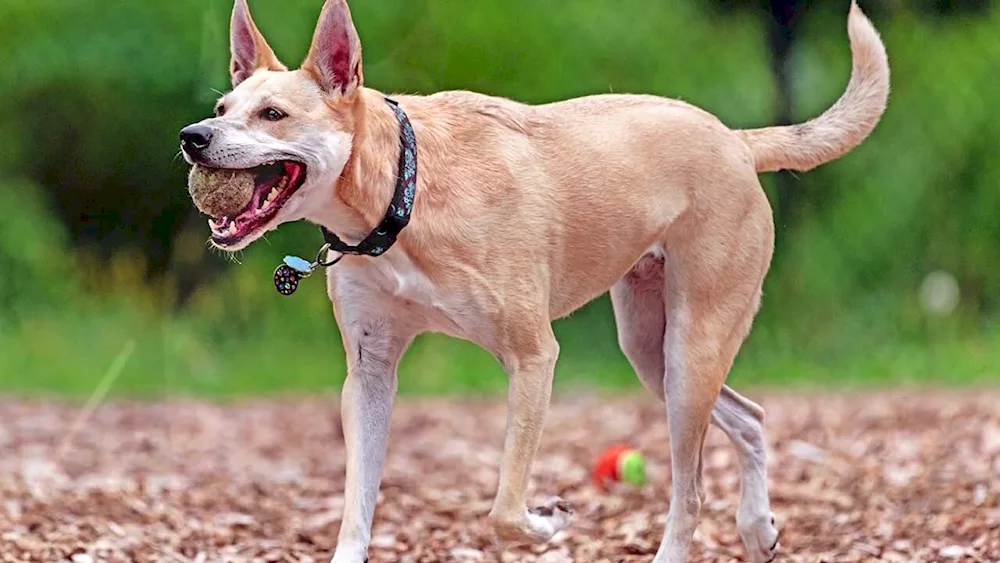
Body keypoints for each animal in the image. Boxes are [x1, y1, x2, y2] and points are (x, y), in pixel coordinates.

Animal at [180, 2, 892, 560]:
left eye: (273, 114)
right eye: (222, 107)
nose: (193, 136)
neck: (403, 194)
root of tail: (737, 142)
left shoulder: (532, 358)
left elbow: (503, 507)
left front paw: (547, 523)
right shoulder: (371, 371)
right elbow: (356, 508)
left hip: (691, 352)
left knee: (689, 492)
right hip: (652, 350)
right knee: (750, 417)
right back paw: (759, 529)